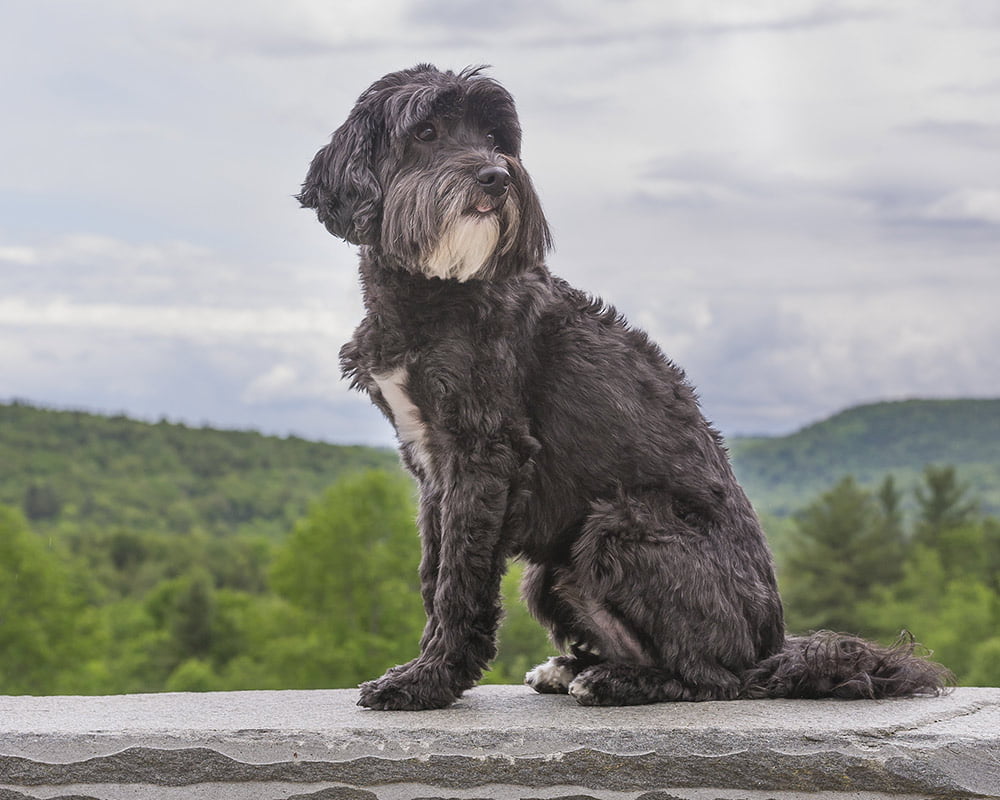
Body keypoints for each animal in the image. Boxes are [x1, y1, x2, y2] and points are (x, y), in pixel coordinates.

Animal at [296, 64, 952, 712]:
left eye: (493, 138)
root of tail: (771, 645)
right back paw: (577, 666)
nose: (496, 176)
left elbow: (461, 578)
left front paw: (427, 681)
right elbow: (436, 571)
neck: (438, 288)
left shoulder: (484, 453)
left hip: (621, 523)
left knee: (713, 678)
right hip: (553, 568)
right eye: (426, 131)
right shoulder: (432, 463)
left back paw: (618, 681)